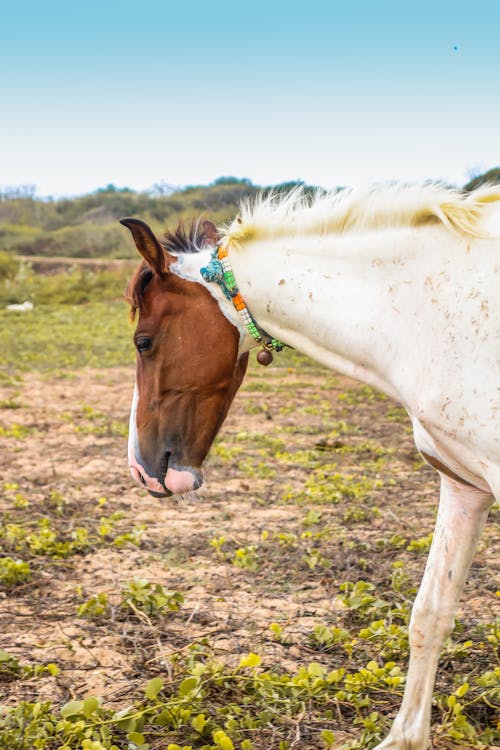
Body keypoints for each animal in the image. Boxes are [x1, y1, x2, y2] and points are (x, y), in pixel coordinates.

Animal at [119, 185, 498, 750]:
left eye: (144, 342)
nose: (142, 468)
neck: (438, 317)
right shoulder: (464, 486)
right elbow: (430, 614)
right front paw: (405, 737)